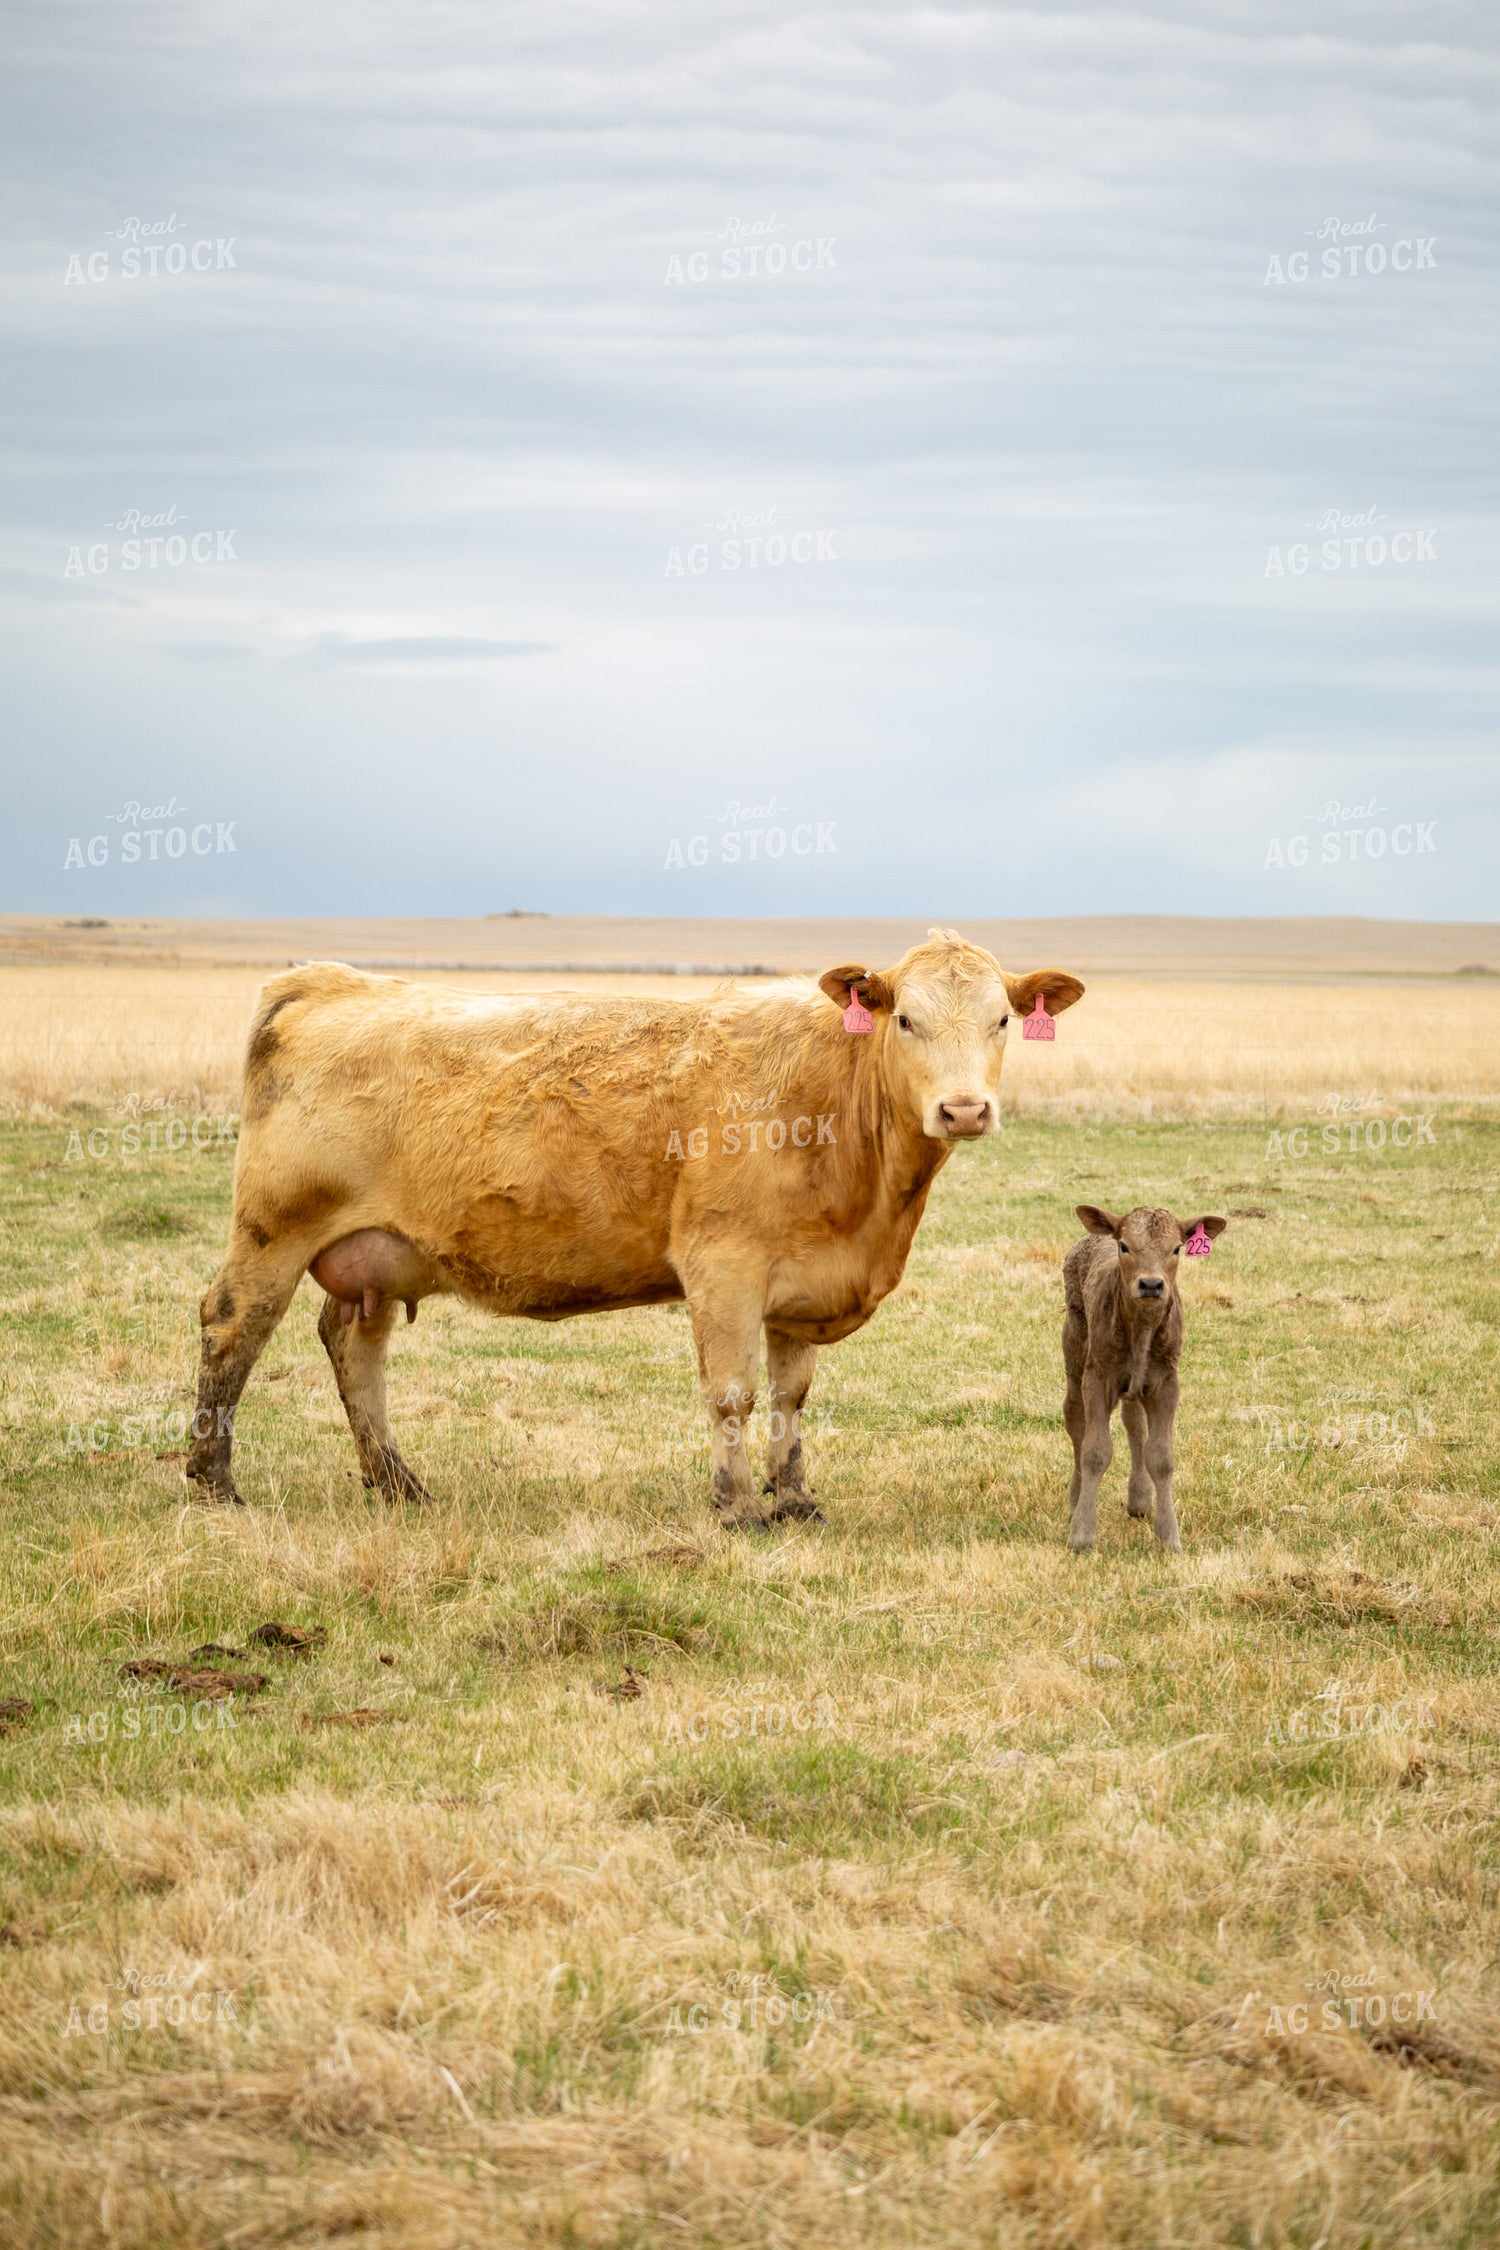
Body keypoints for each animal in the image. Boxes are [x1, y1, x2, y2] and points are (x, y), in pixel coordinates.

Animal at [185, 928, 1084, 1526]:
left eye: (1003, 1020)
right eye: (906, 1021)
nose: (963, 1108)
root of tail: (329, 980)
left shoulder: (802, 1283)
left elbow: (791, 1396)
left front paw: (795, 1498)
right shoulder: (724, 1265)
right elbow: (732, 1392)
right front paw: (736, 1507)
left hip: (376, 1255)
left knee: (354, 1348)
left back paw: (399, 1484)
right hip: (274, 1230)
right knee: (233, 1327)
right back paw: (215, 1481)